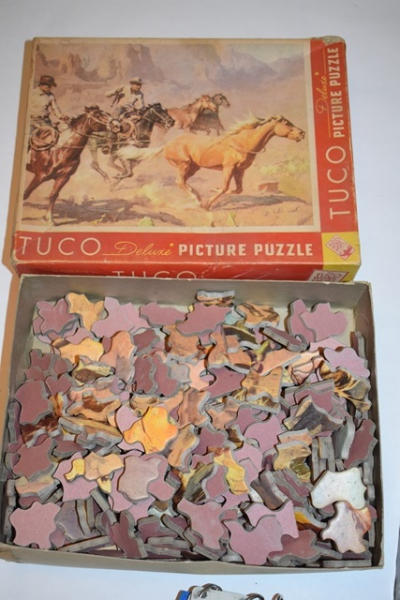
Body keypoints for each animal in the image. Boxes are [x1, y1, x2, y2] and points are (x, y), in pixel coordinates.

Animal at [164, 115, 305, 209]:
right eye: (286, 123)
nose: (302, 133)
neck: (244, 142)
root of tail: (168, 145)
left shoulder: (239, 170)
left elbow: (238, 190)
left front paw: (213, 190)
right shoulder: (228, 167)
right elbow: (225, 187)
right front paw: (208, 203)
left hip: (193, 168)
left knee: (183, 182)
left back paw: (197, 197)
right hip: (184, 164)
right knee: (180, 181)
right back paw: (198, 201)